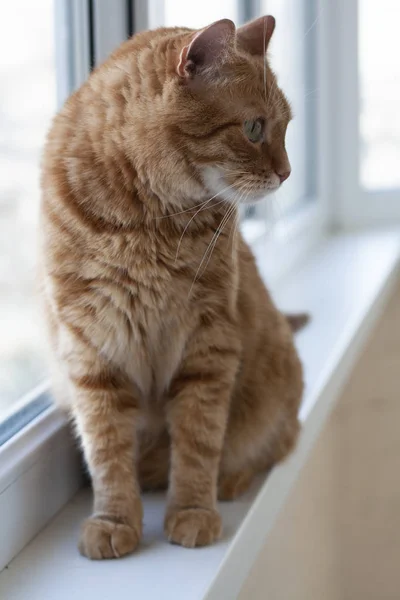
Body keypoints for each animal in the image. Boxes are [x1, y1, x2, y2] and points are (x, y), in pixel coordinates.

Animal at [39, 14, 304, 560]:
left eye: (286, 127)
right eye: (254, 128)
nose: (287, 173)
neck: (144, 223)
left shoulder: (209, 347)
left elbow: (200, 443)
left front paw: (194, 510)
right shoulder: (91, 351)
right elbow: (106, 449)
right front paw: (115, 519)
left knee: (279, 440)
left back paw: (231, 481)